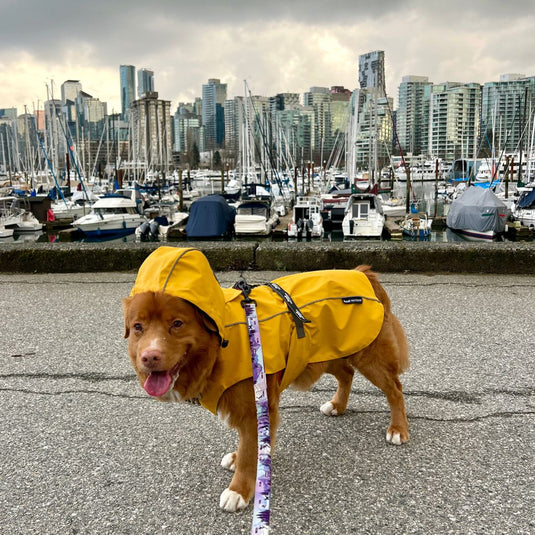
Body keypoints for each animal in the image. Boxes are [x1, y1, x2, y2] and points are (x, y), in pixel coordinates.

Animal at [123, 249, 410, 512]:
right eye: (138, 327)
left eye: (177, 323)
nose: (149, 357)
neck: (221, 343)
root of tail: (362, 273)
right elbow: (250, 446)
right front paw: (243, 461)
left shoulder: (255, 408)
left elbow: (250, 452)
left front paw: (239, 490)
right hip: (325, 352)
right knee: (347, 373)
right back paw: (338, 405)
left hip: (369, 357)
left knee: (395, 389)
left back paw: (398, 428)